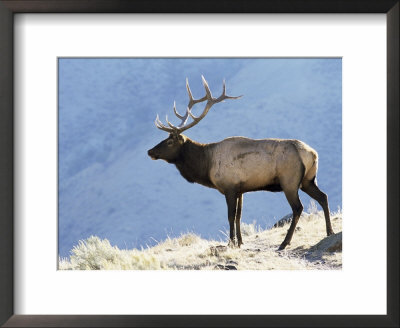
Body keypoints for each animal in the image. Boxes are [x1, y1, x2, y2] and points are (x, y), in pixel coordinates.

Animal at [148, 77, 334, 250]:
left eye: (170, 142)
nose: (150, 151)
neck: (206, 165)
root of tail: (312, 153)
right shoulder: (241, 189)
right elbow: (239, 216)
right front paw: (240, 242)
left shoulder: (229, 186)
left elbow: (231, 215)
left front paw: (230, 242)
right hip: (308, 180)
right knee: (323, 197)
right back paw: (329, 231)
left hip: (289, 181)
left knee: (298, 208)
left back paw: (284, 242)